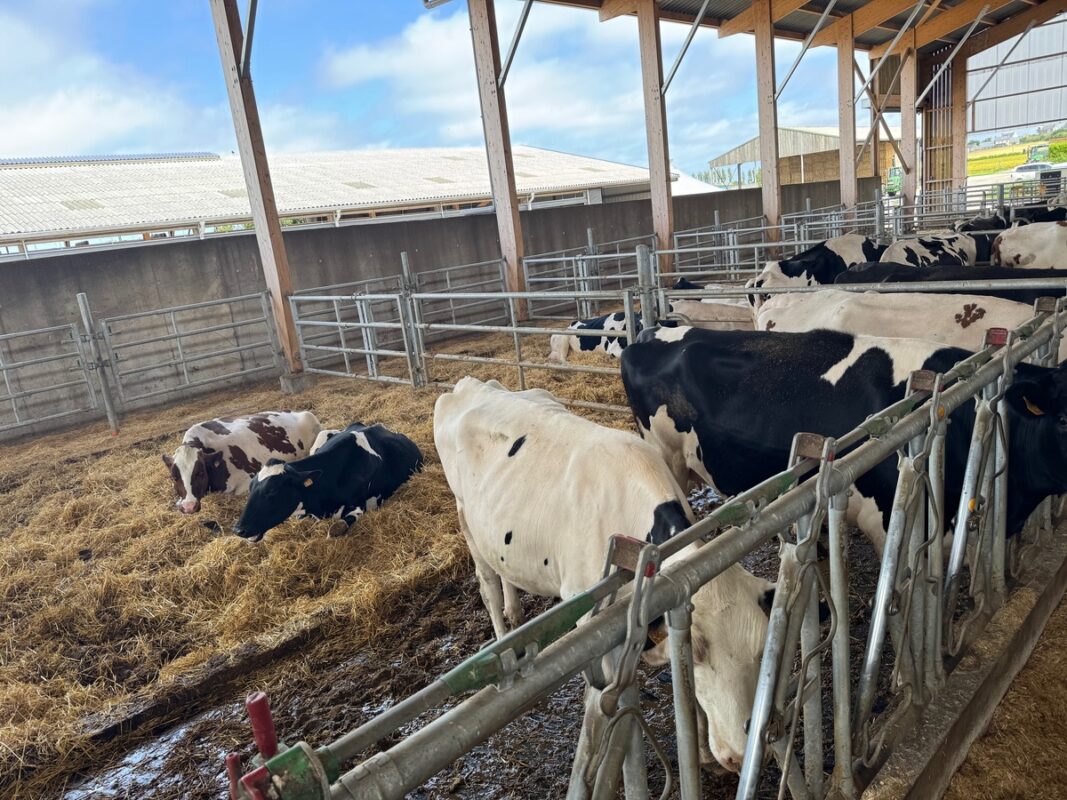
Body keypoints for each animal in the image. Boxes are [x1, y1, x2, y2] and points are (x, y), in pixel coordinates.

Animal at [433, 376, 778, 772]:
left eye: (760, 650)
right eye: (700, 654)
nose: (740, 754)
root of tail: (471, 384)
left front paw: (702, 752)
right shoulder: (591, 620)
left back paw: (516, 613)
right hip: (466, 521)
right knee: (487, 584)